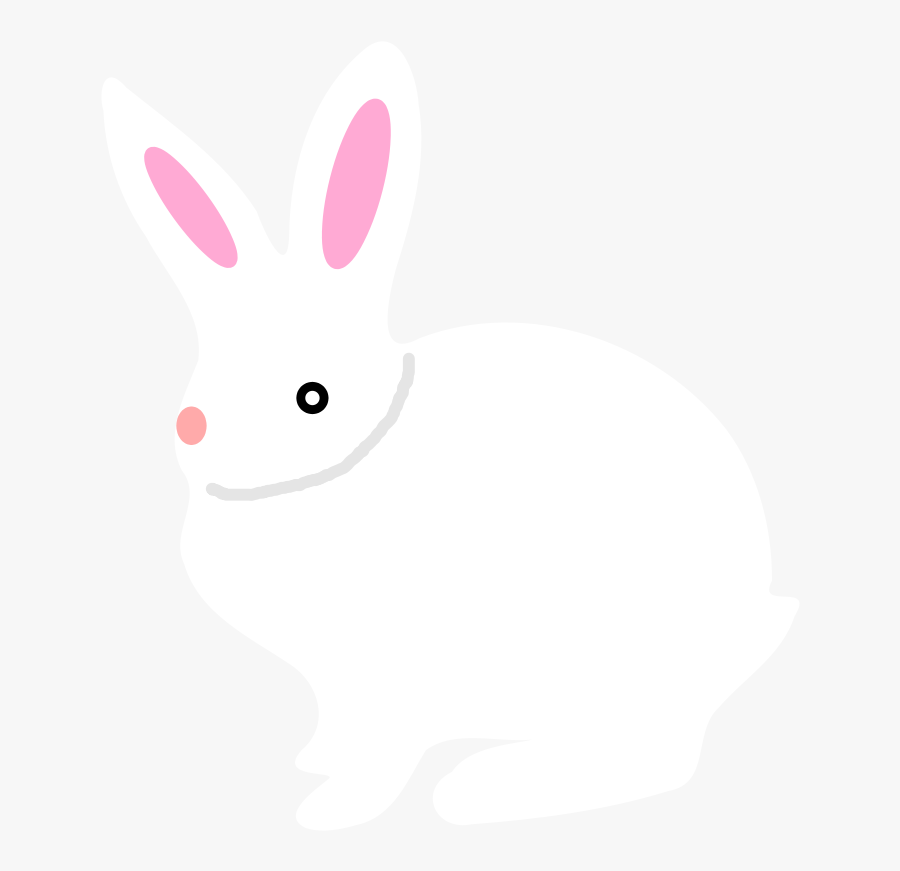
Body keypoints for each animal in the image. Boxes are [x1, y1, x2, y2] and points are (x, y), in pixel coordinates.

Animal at [103, 42, 798, 830]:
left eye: (312, 398)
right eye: (203, 374)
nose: (192, 428)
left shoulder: (394, 667)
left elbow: (385, 748)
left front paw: (336, 807)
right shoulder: (338, 684)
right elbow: (340, 728)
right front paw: (318, 758)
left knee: (652, 757)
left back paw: (486, 787)